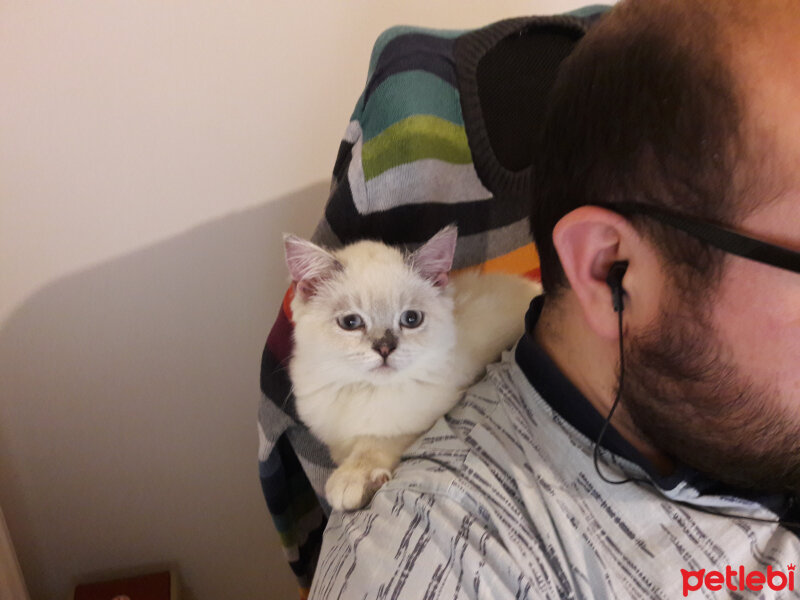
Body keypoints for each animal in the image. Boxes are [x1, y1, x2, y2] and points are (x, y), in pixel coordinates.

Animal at [284, 225, 540, 510]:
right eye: (351, 322)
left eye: (411, 319)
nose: (385, 348)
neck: (365, 391)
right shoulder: (336, 441)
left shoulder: (427, 416)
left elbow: (376, 442)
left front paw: (353, 480)